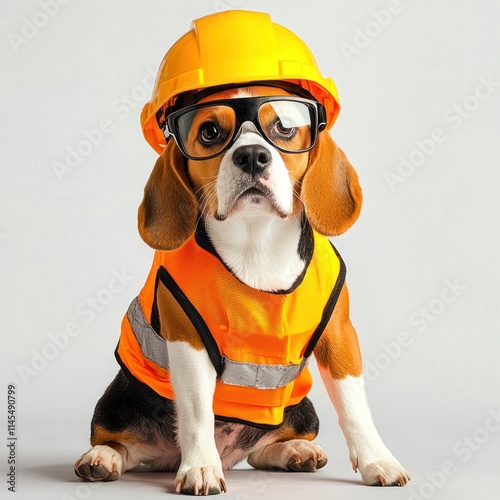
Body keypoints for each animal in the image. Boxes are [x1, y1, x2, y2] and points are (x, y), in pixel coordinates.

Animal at [74, 84, 410, 494]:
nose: (251, 155)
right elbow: (198, 410)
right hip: (119, 402)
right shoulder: (188, 340)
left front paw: (378, 460)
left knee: (262, 451)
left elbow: (354, 407)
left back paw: (294, 451)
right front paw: (201, 467)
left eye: (284, 126)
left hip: (303, 411)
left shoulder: (339, 335)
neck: (257, 244)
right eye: (209, 132)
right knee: (120, 443)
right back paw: (102, 458)